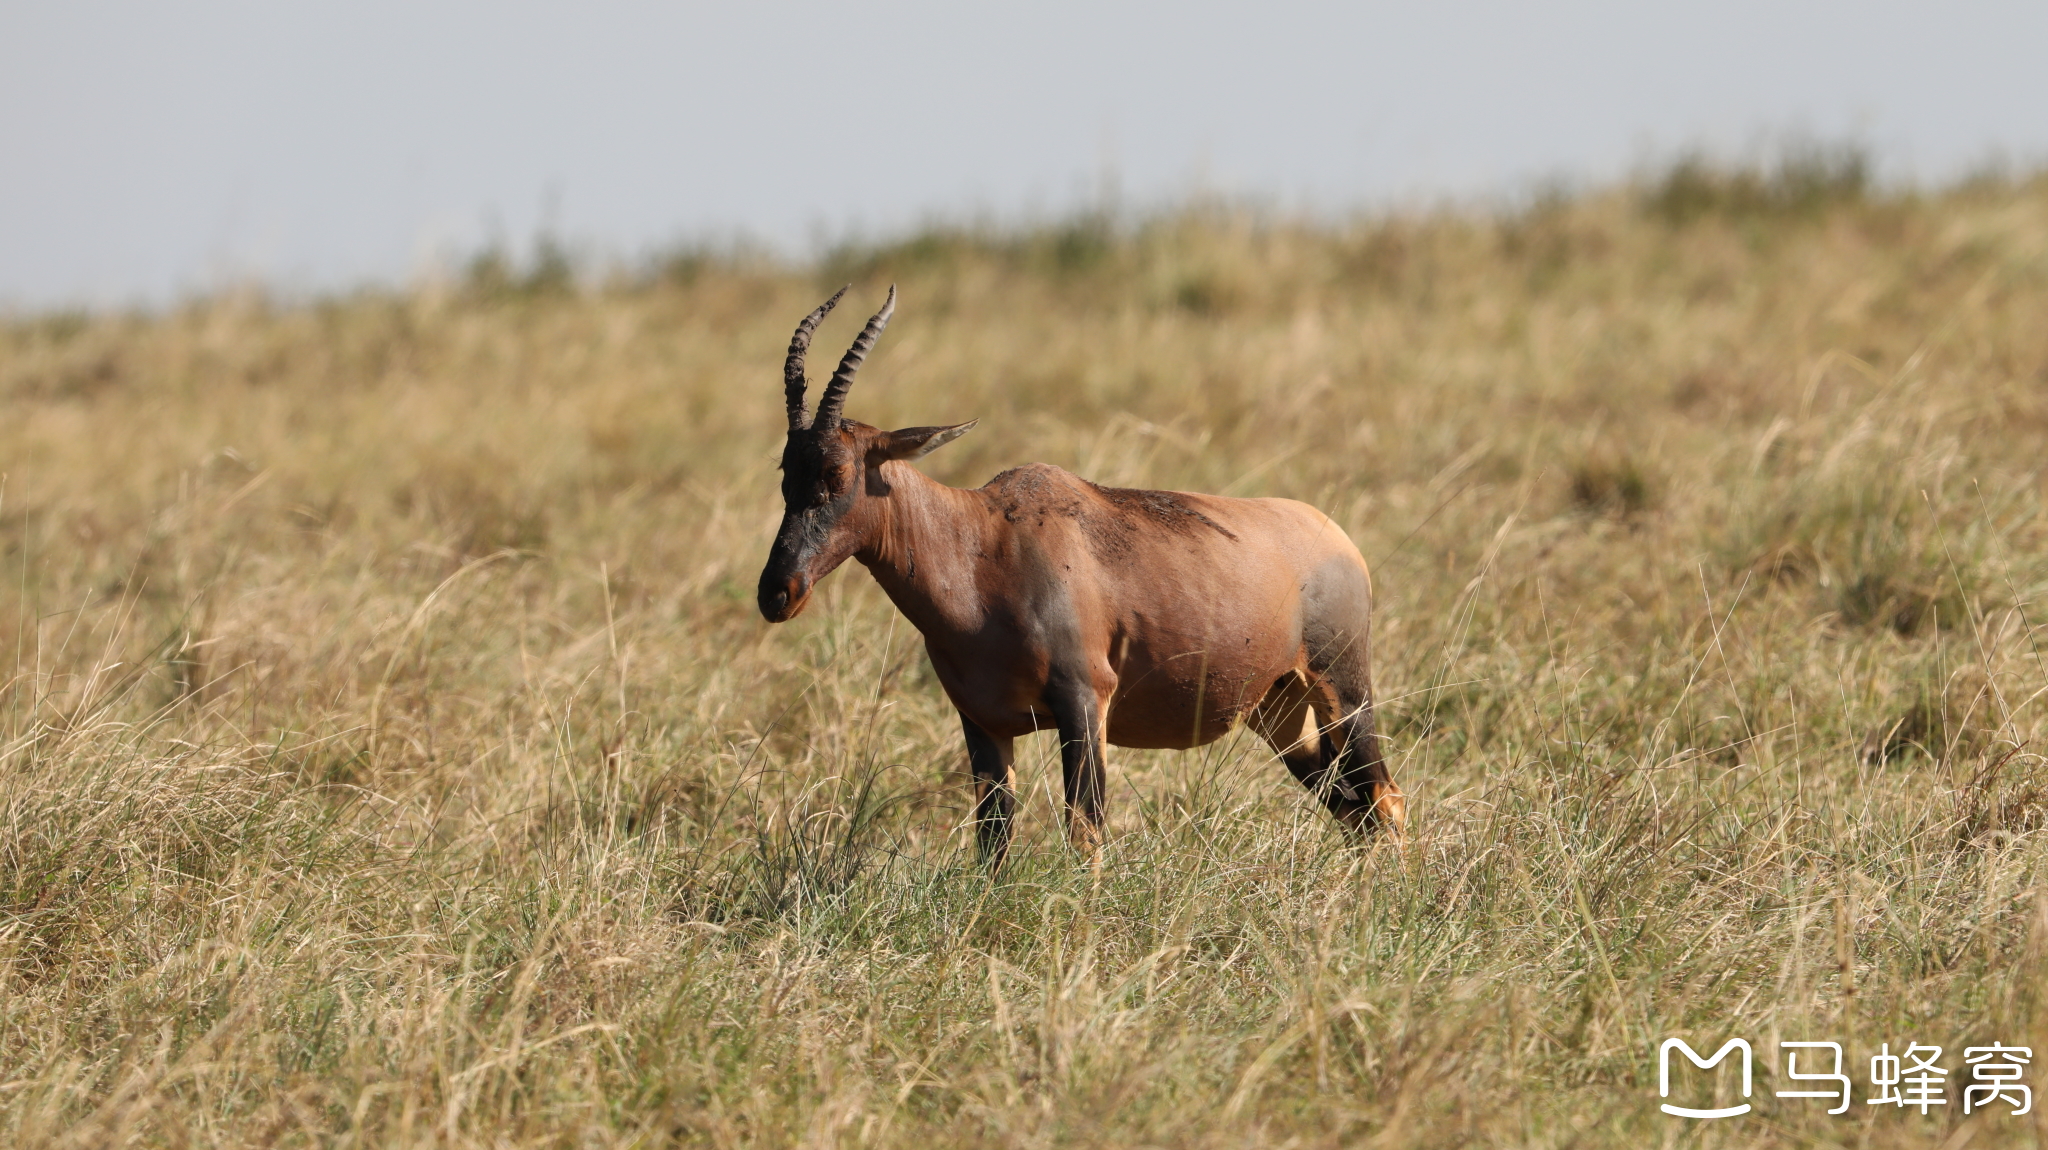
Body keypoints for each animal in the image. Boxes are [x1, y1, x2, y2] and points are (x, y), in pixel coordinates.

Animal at [757, 286, 1409, 859]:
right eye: (786, 471)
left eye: (838, 473)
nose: (777, 592)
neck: (984, 545)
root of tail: (1338, 537)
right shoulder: (984, 723)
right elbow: (992, 843)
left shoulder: (1084, 699)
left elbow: (1086, 831)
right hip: (1280, 716)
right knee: (1352, 808)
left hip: (1343, 690)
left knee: (1385, 798)